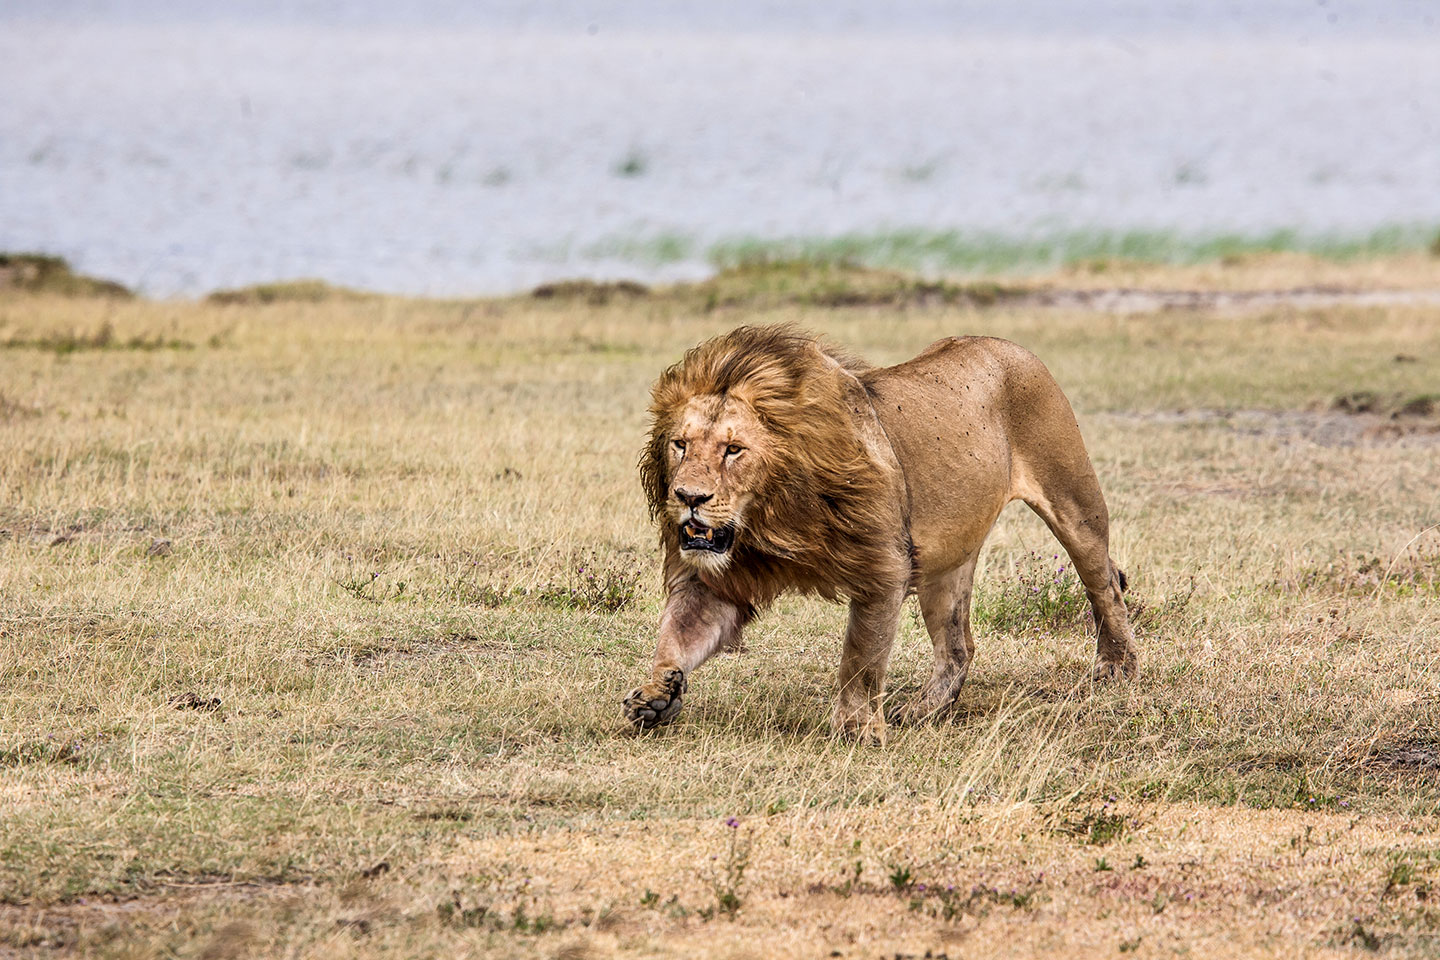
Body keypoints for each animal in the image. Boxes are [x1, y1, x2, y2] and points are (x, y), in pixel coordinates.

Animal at [624, 325, 1137, 742]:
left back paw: (1118, 667)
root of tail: (1008, 344)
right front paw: (657, 692)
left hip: (1075, 503)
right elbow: (677, 634)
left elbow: (860, 657)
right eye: (680, 444)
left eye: (734, 450)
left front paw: (855, 729)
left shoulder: (882, 568)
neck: (772, 516)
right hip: (944, 563)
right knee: (958, 647)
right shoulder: (717, 580)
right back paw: (924, 711)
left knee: (1104, 584)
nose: (688, 496)